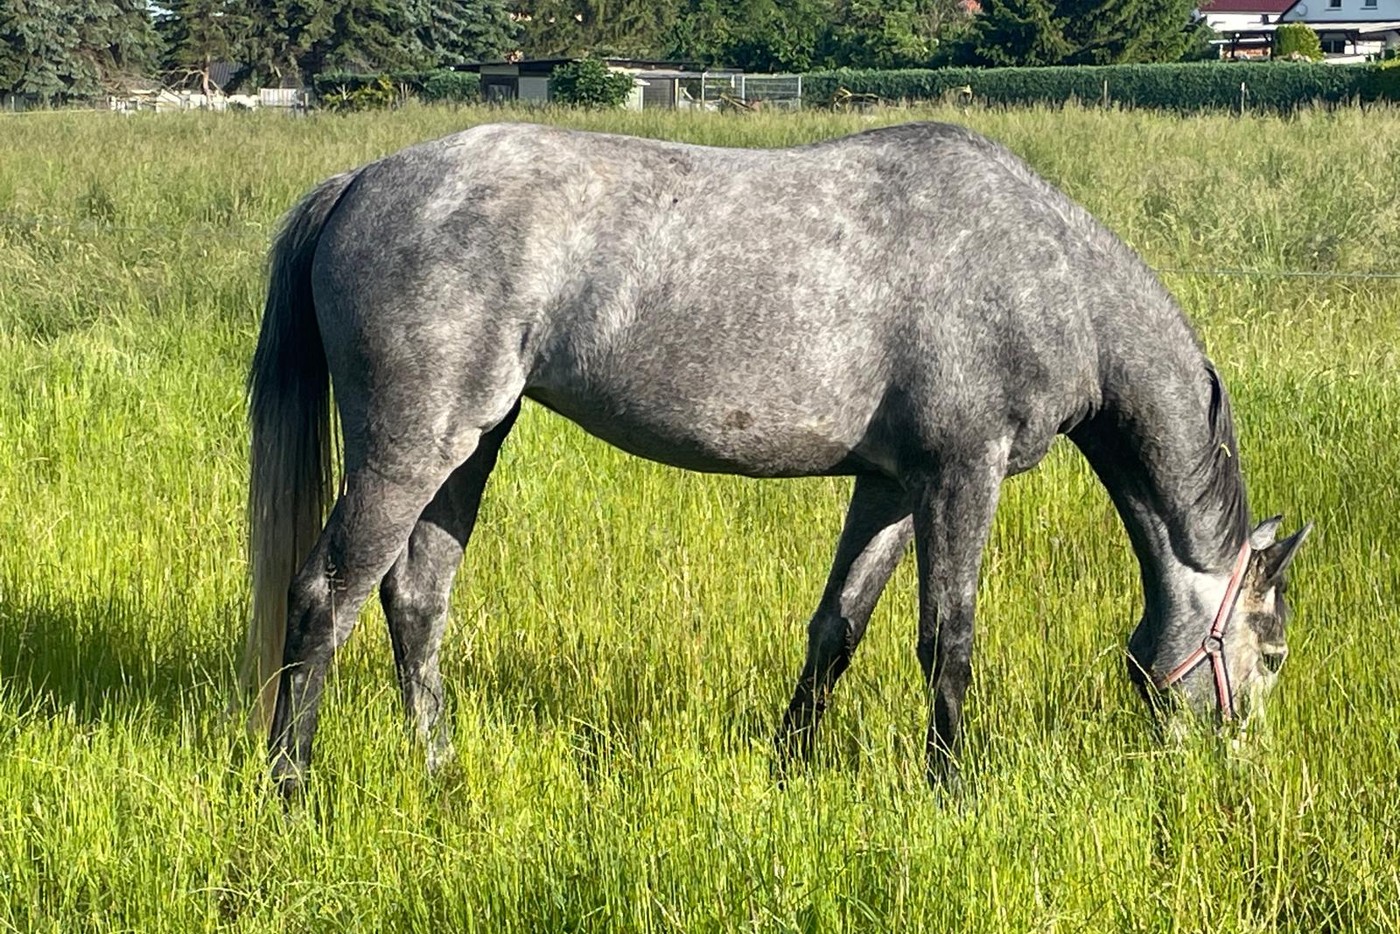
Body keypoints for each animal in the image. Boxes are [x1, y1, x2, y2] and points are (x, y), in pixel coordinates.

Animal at [242, 121, 1311, 798]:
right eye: (1270, 650)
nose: (1238, 774)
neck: (1045, 271)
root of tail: (360, 183)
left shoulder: (891, 486)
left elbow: (838, 627)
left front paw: (788, 769)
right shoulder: (962, 474)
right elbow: (949, 641)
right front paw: (952, 791)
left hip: (469, 445)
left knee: (416, 602)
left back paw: (440, 772)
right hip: (411, 444)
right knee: (327, 595)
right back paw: (290, 786)